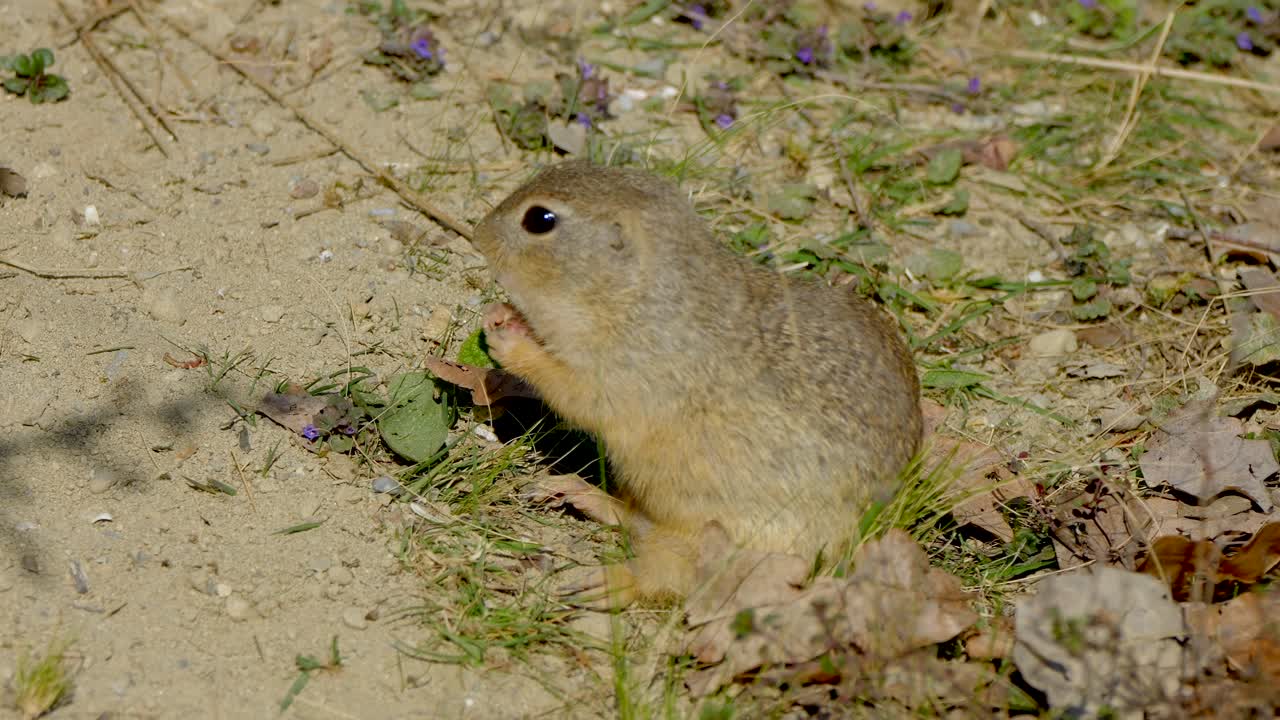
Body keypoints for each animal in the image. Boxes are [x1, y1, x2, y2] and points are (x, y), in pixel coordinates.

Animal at [472, 161, 922, 606]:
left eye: (540, 219)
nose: (479, 231)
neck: (636, 297)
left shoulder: (628, 376)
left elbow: (571, 391)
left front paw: (508, 338)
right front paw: (503, 314)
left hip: (709, 539)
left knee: (661, 574)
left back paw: (599, 582)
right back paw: (575, 492)